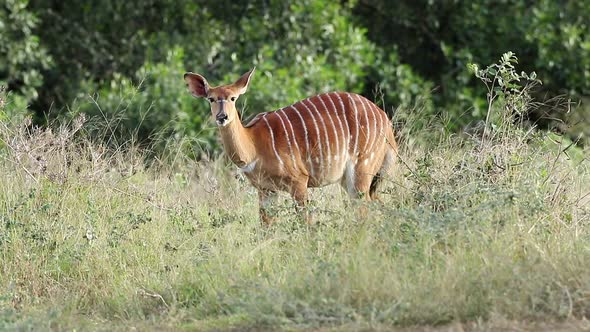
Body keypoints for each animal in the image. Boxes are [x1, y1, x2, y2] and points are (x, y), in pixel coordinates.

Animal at [184, 68, 398, 224]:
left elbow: (306, 223)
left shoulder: (299, 181)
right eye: (211, 98)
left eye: (233, 98)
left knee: (364, 210)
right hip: (352, 179)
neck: (254, 146)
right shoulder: (266, 189)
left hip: (362, 169)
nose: (222, 117)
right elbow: (266, 227)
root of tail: (385, 121)